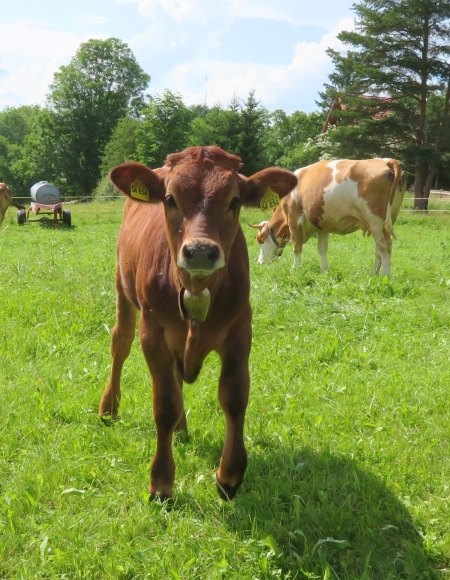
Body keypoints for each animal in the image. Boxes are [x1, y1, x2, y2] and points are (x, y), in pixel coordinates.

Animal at [98, 145, 296, 498]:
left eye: (234, 201)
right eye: (170, 199)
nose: (201, 251)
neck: (196, 290)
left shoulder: (240, 329)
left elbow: (234, 397)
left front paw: (229, 474)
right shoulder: (153, 333)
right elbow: (164, 404)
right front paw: (161, 482)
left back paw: (182, 429)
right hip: (122, 288)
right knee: (120, 344)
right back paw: (109, 408)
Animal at [253, 159, 404, 276]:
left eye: (260, 239)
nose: (259, 262)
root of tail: (387, 161)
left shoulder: (294, 218)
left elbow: (297, 247)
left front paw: (295, 269)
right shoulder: (322, 226)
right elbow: (322, 249)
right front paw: (324, 271)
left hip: (375, 220)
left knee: (384, 245)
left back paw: (385, 275)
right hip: (386, 221)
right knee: (379, 247)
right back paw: (373, 273)